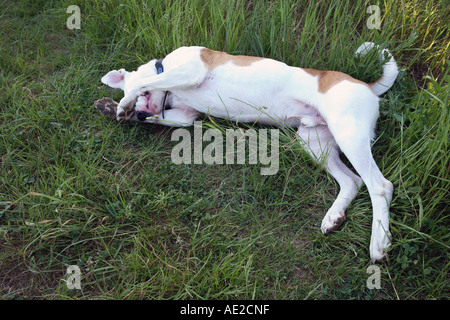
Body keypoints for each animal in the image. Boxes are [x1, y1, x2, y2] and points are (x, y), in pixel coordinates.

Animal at [101, 42, 398, 262]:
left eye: (136, 97)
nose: (139, 113)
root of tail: (366, 85)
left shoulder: (189, 71)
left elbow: (144, 82)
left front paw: (123, 105)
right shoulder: (185, 116)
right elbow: (161, 113)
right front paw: (121, 111)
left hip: (348, 135)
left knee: (380, 185)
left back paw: (379, 242)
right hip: (314, 143)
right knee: (352, 181)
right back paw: (334, 217)